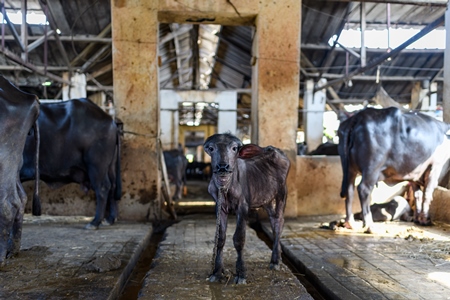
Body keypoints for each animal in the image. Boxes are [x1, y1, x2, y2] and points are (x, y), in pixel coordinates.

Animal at [21, 98, 121, 230]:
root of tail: (111, 122)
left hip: (97, 165)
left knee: (103, 187)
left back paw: (94, 222)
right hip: (110, 167)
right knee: (113, 187)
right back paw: (110, 219)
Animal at [203, 133, 290, 284]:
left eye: (234, 148)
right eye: (211, 148)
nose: (222, 167)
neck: (226, 187)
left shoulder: (243, 207)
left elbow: (239, 239)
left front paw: (241, 274)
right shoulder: (219, 207)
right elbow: (220, 238)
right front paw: (217, 272)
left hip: (281, 192)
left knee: (279, 222)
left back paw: (275, 261)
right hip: (266, 198)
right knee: (274, 221)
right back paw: (277, 256)